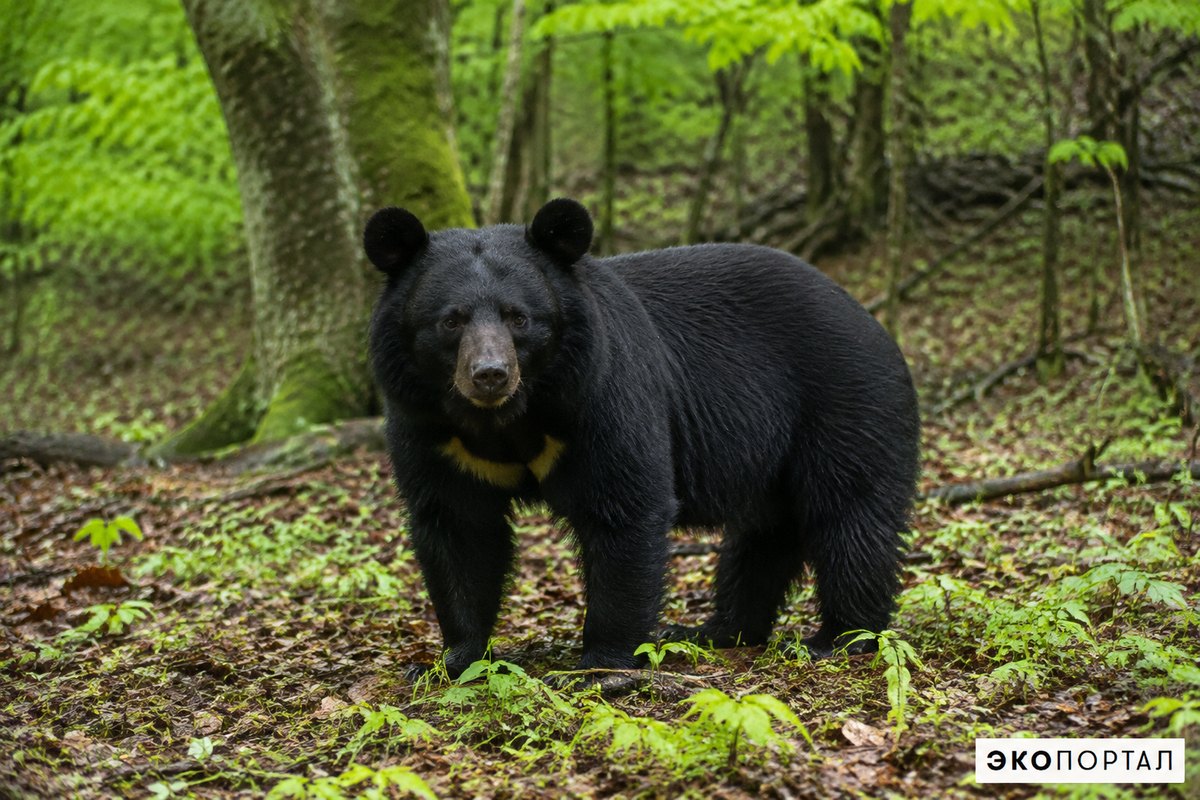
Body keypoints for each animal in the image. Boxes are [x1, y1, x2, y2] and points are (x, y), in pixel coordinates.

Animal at [364, 198, 919, 681]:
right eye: (451, 320)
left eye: (518, 317)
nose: (490, 375)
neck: (505, 418)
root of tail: (868, 316)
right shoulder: (431, 428)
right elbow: (458, 527)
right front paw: (451, 661)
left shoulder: (601, 394)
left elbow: (624, 508)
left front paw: (601, 666)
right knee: (763, 534)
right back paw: (717, 630)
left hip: (845, 404)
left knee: (848, 515)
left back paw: (839, 636)